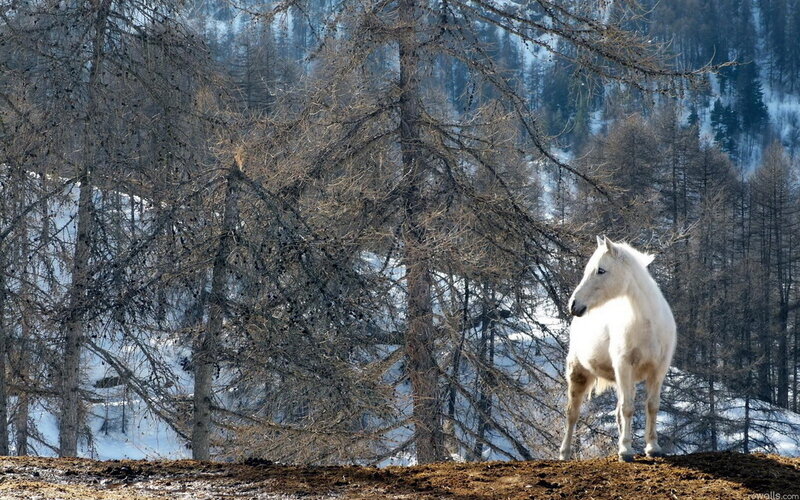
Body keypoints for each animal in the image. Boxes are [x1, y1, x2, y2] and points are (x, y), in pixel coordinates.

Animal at [559, 236, 676, 462]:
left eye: (601, 270)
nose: (573, 305)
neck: (647, 324)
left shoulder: (658, 370)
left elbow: (652, 406)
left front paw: (652, 447)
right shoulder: (624, 366)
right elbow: (628, 408)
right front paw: (626, 451)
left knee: (618, 412)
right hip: (579, 373)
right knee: (572, 413)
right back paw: (565, 454)